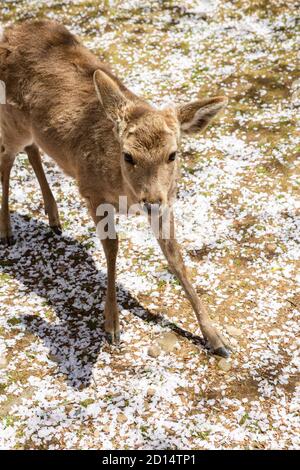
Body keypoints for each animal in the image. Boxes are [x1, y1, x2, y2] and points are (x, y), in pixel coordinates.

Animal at [0, 18, 230, 356]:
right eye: (128, 155)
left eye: (172, 154)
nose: (150, 199)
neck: (126, 193)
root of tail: (11, 29)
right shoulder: (91, 190)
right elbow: (112, 247)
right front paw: (112, 326)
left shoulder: (166, 200)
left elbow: (175, 257)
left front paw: (216, 338)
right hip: (10, 118)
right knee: (6, 159)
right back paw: (7, 231)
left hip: (32, 129)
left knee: (32, 150)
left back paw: (54, 218)